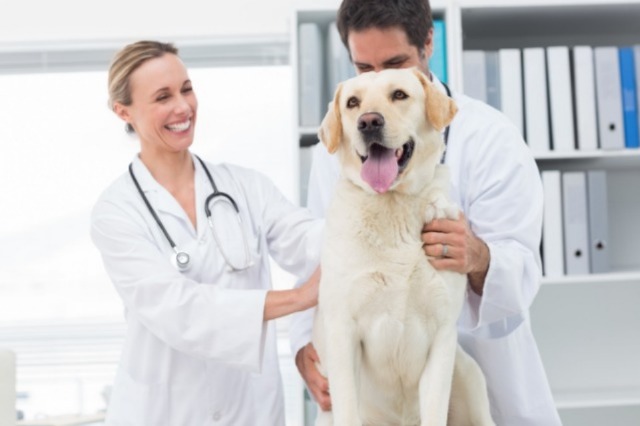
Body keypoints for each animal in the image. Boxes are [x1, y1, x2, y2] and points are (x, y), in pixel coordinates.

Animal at [314, 68, 496, 424]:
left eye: (399, 95)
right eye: (352, 102)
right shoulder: (343, 333)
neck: (392, 205)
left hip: (468, 376)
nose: (369, 122)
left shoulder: (441, 337)